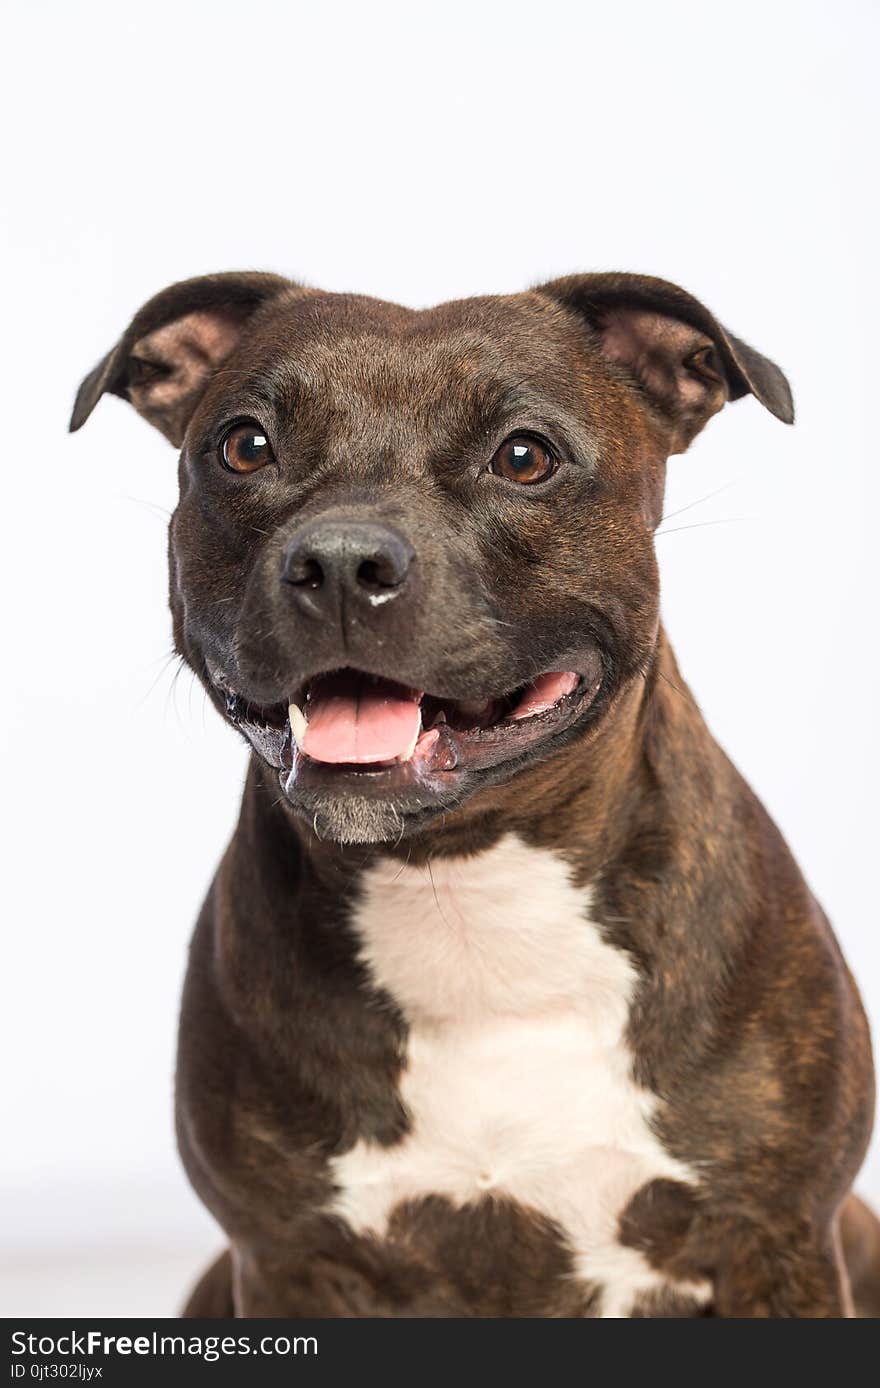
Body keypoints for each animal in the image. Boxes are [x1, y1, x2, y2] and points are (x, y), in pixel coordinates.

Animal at [70, 267, 877, 1310]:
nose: (341, 561)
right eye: (245, 446)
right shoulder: (285, 1257)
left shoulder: (776, 1238)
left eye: (523, 457)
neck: (465, 891)